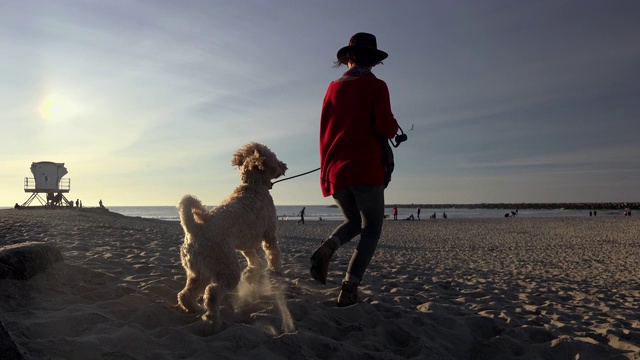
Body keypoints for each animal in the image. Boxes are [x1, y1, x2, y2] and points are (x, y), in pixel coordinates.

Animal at [175, 142, 284, 324]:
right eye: (274, 158)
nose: (284, 166)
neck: (252, 186)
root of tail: (195, 228)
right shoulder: (269, 233)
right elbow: (273, 252)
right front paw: (275, 267)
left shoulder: (246, 244)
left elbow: (254, 261)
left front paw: (251, 273)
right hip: (227, 268)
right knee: (212, 292)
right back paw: (212, 317)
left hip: (199, 271)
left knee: (186, 294)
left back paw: (194, 308)